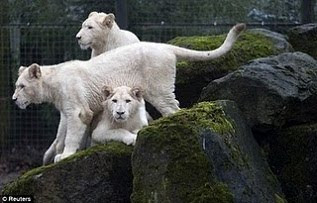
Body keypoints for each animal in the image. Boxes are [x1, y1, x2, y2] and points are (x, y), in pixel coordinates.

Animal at [11, 23, 244, 163]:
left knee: (173, 107)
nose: (14, 99)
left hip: (158, 89)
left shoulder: (77, 109)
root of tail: (165, 47)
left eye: (21, 86)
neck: (52, 85)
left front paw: (65, 155)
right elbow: (76, 133)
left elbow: (72, 134)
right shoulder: (81, 111)